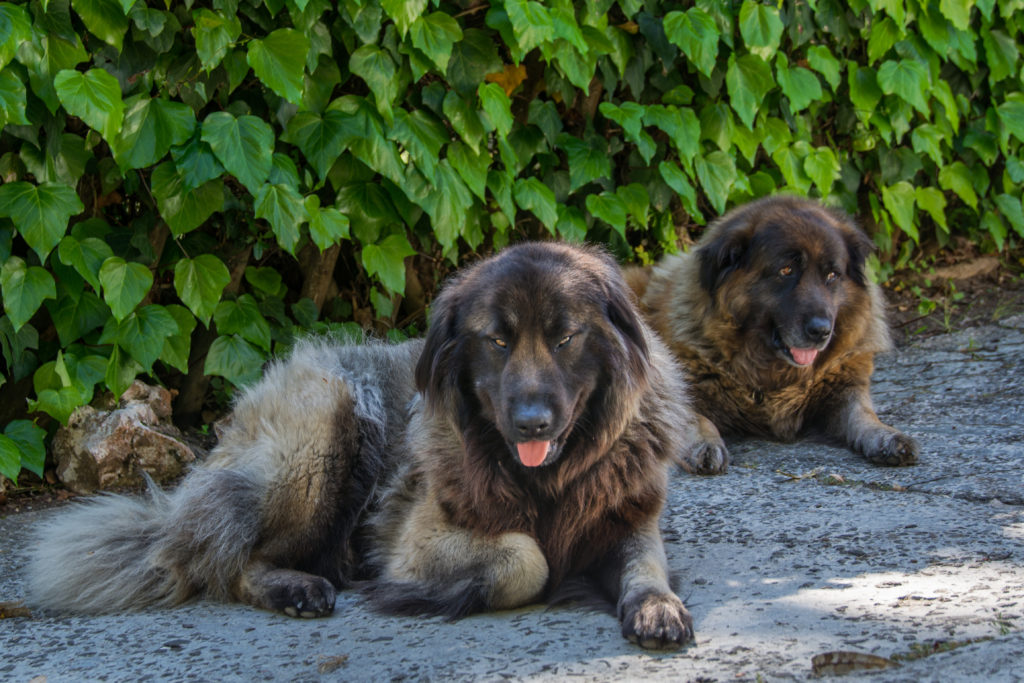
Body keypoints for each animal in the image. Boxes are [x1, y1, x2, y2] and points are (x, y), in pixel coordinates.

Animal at [34, 241, 704, 651]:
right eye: (497, 342)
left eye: (565, 338)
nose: (532, 424)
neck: (548, 479)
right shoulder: (419, 542)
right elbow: (526, 558)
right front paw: (428, 596)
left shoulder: (626, 516)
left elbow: (645, 563)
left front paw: (656, 605)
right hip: (324, 435)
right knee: (228, 561)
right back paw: (298, 587)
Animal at [626, 192, 925, 471]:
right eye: (786, 270)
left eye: (832, 275)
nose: (821, 331)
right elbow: (695, 417)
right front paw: (705, 444)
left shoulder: (843, 386)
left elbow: (863, 415)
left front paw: (887, 437)